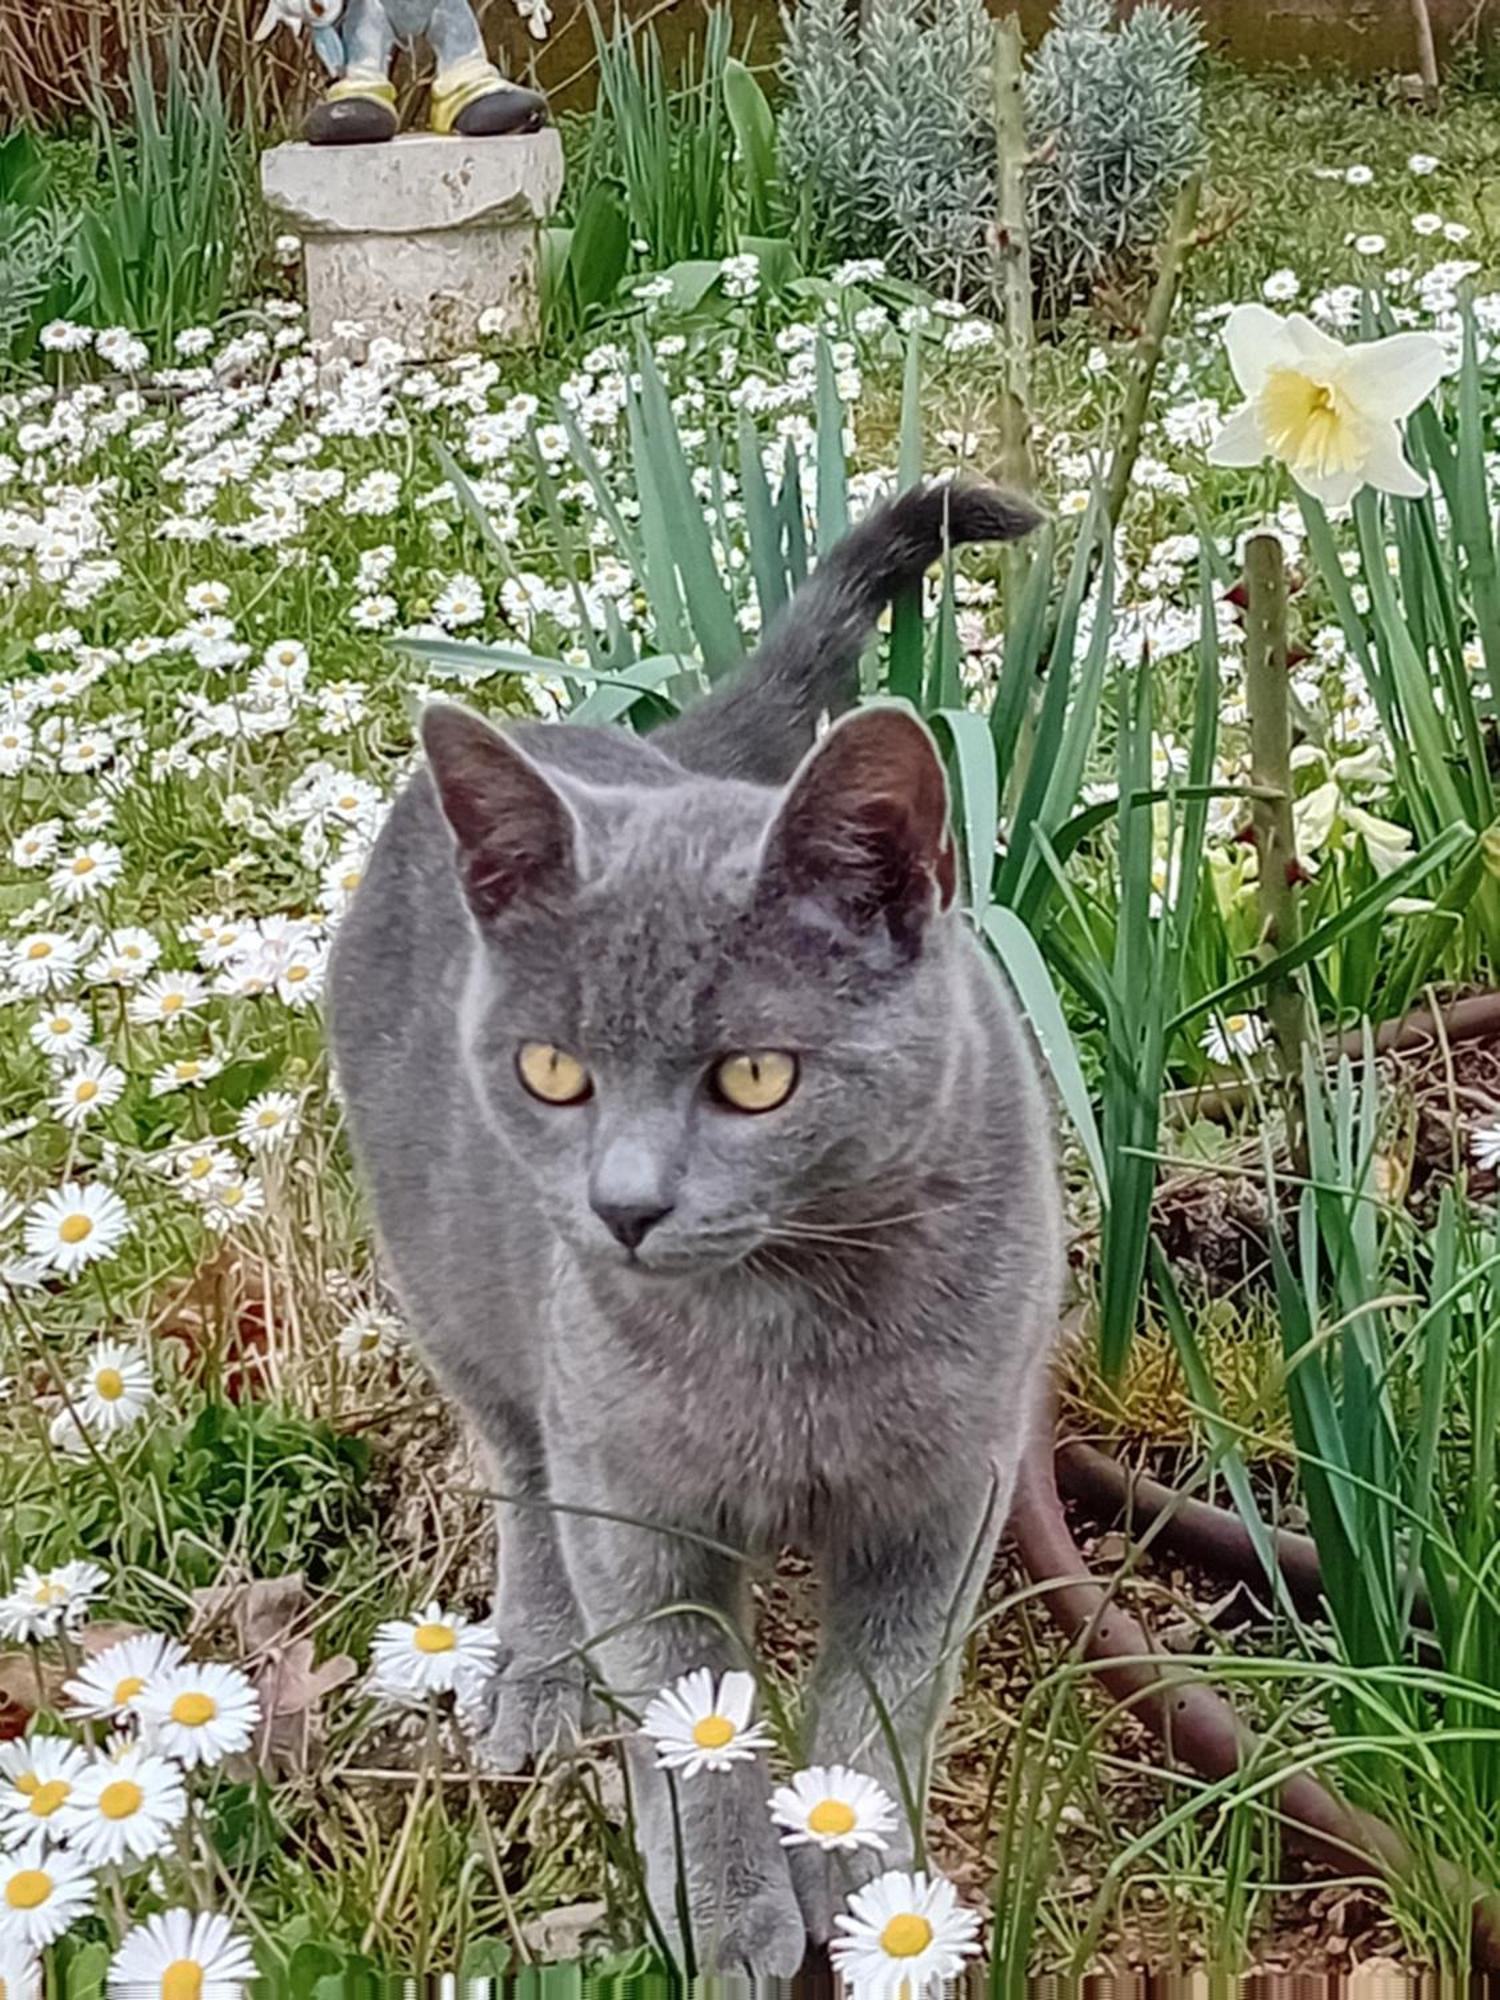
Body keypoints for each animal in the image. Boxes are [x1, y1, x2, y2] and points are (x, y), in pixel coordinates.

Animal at [328, 480, 1064, 1968]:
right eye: (555, 1070)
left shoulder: (949, 1492)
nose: (625, 1205)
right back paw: (536, 1680)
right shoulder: (637, 1504)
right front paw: (730, 1920)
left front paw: (869, 1886)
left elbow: (881, 1706)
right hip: (466, 1315)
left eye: (755, 1077)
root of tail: (651, 748)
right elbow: (690, 1721)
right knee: (524, 1487)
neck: (793, 1333)